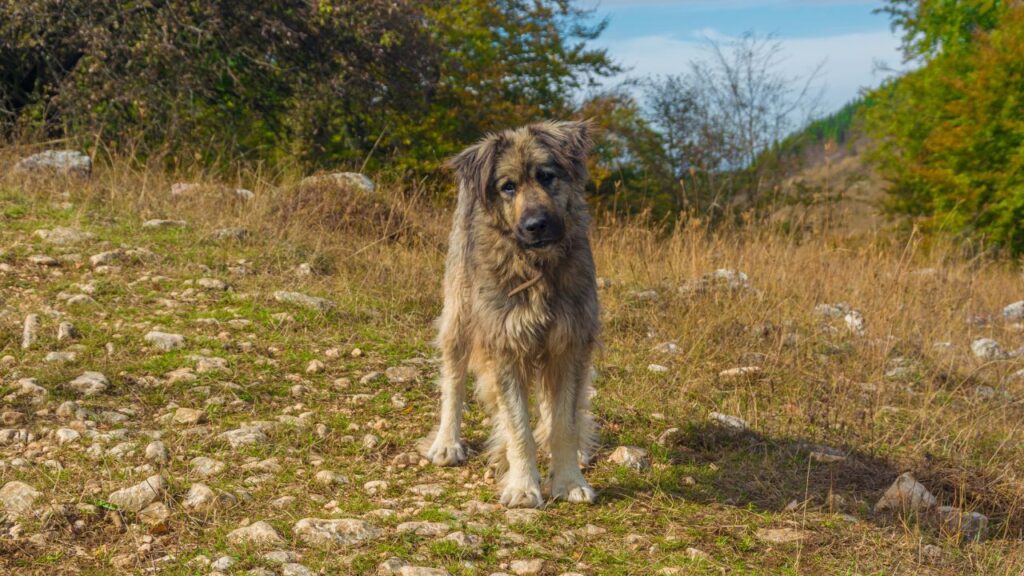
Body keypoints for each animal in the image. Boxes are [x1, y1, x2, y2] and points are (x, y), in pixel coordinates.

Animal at [421, 119, 598, 506]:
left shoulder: (570, 343)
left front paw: (568, 480)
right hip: (459, 314)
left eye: (547, 176)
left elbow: (564, 421)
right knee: (453, 380)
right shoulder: (504, 346)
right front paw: (522, 484)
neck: (536, 268)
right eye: (508, 187)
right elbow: (517, 426)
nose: (536, 224)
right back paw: (447, 442)